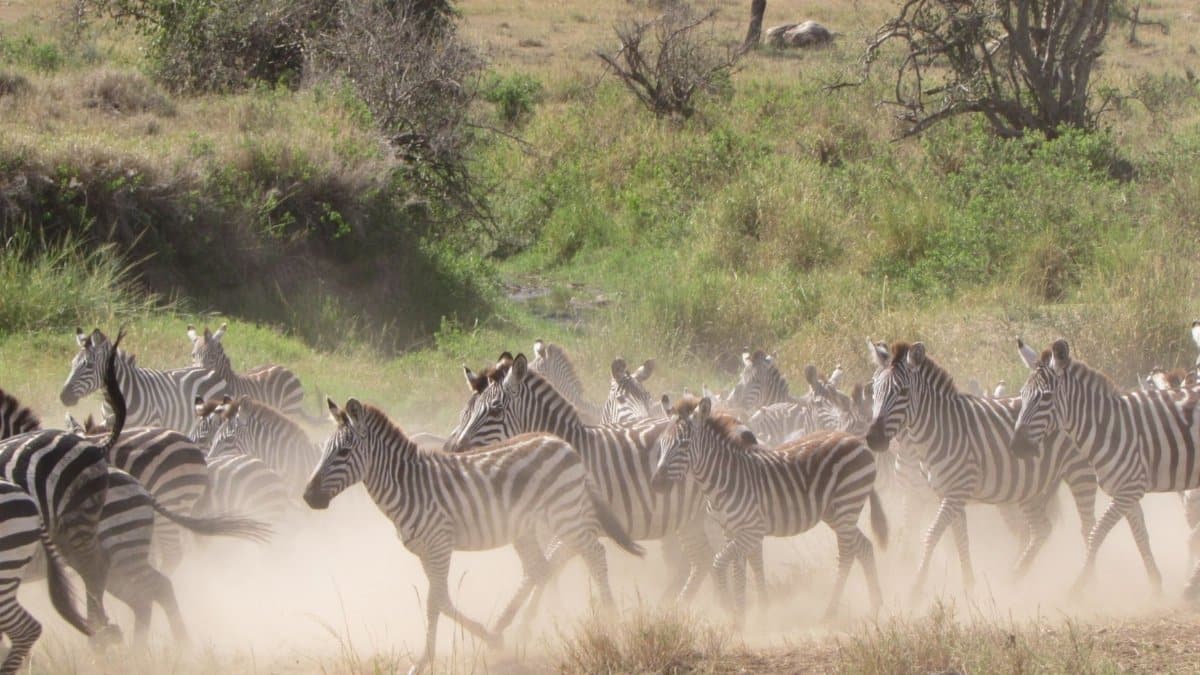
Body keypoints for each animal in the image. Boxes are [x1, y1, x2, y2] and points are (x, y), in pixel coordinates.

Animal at [305, 397, 643, 674]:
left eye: (344, 452)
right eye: (323, 451)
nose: (308, 497)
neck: (409, 486)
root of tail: (562, 444)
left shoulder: (439, 544)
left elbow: (434, 602)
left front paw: (422, 662)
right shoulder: (426, 551)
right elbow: (441, 600)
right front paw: (490, 638)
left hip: (566, 514)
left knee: (595, 555)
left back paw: (612, 623)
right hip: (528, 527)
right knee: (542, 568)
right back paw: (531, 627)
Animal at [444, 353, 717, 604]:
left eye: (495, 410)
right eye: (467, 411)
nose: (453, 449)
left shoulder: (575, 523)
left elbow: (546, 567)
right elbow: (543, 568)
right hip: (690, 517)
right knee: (701, 559)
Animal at [650, 396, 887, 625]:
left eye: (683, 445)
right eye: (661, 444)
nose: (656, 484)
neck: (722, 480)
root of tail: (857, 441)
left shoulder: (751, 530)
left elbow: (720, 563)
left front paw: (730, 611)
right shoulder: (731, 531)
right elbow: (739, 569)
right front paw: (742, 616)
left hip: (846, 505)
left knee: (847, 554)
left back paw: (830, 612)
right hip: (836, 513)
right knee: (864, 547)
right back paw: (875, 605)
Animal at [866, 340, 1098, 596]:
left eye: (903, 393)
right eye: (874, 390)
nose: (873, 438)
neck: (938, 430)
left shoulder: (955, 492)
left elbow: (932, 535)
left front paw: (915, 588)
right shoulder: (944, 493)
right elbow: (959, 539)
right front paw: (969, 586)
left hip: (1080, 472)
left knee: (1088, 528)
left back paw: (1088, 585)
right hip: (1030, 486)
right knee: (1041, 529)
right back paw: (1015, 578)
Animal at [1009, 338, 1200, 597]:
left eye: (1046, 398)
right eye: (1022, 395)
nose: (1016, 447)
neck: (1109, 428)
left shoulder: (1129, 490)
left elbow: (1095, 534)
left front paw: (1078, 587)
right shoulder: (1128, 493)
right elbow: (1141, 538)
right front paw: (1156, 588)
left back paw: (1190, 589)